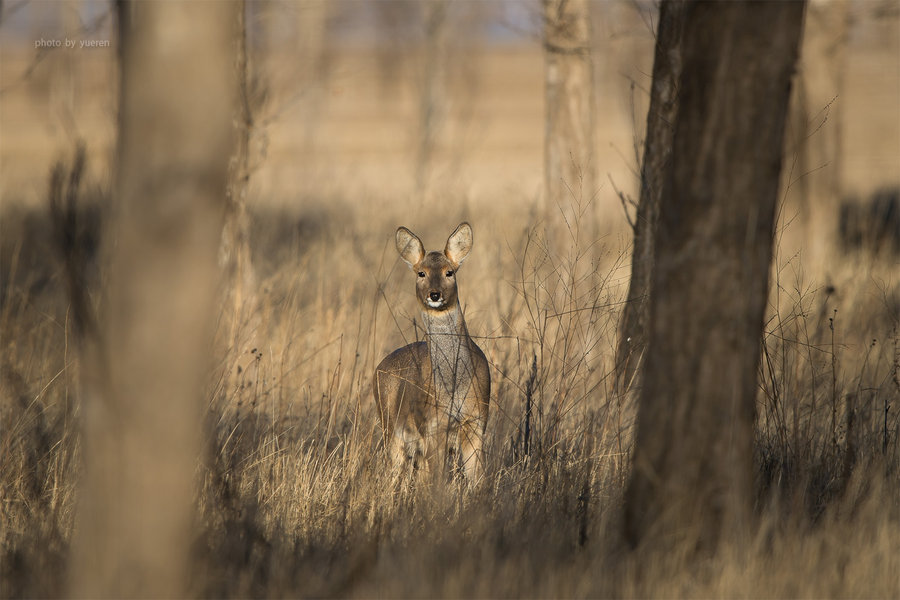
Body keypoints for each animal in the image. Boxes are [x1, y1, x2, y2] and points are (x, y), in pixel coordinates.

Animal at [374, 223, 492, 480]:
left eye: (450, 272)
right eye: (421, 273)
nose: (435, 294)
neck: (454, 387)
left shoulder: (477, 422)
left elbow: (476, 479)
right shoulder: (432, 427)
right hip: (390, 428)